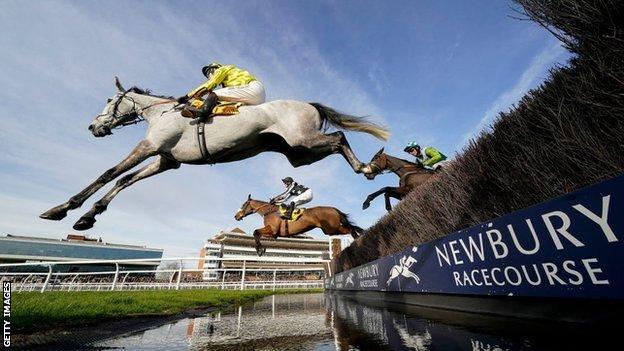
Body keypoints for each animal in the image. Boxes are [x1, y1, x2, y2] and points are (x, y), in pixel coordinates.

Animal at [39, 77, 388, 231]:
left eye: (111, 101)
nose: (93, 127)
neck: (158, 113)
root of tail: (308, 104)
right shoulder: (166, 160)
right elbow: (125, 181)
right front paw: (89, 216)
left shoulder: (149, 148)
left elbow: (109, 173)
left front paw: (62, 209)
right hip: (299, 153)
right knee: (335, 142)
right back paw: (365, 167)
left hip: (302, 139)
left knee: (339, 137)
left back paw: (366, 168)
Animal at [234, 195, 364, 256]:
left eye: (244, 204)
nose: (236, 216)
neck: (269, 211)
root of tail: (333, 209)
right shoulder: (273, 234)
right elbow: (256, 233)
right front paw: (261, 249)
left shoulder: (273, 231)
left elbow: (255, 232)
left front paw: (260, 250)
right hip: (331, 229)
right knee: (351, 229)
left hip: (331, 229)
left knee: (350, 229)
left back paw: (358, 238)